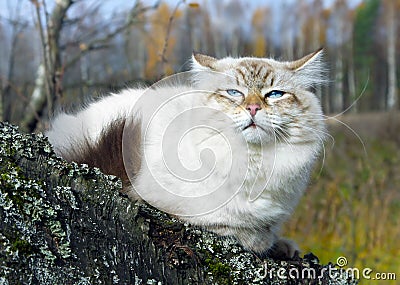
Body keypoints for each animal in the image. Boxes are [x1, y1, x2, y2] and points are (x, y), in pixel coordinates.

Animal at [47, 50, 328, 258]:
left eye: (275, 94)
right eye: (234, 93)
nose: (253, 108)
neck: (253, 160)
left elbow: (269, 228)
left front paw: (281, 245)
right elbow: (232, 222)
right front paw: (257, 239)